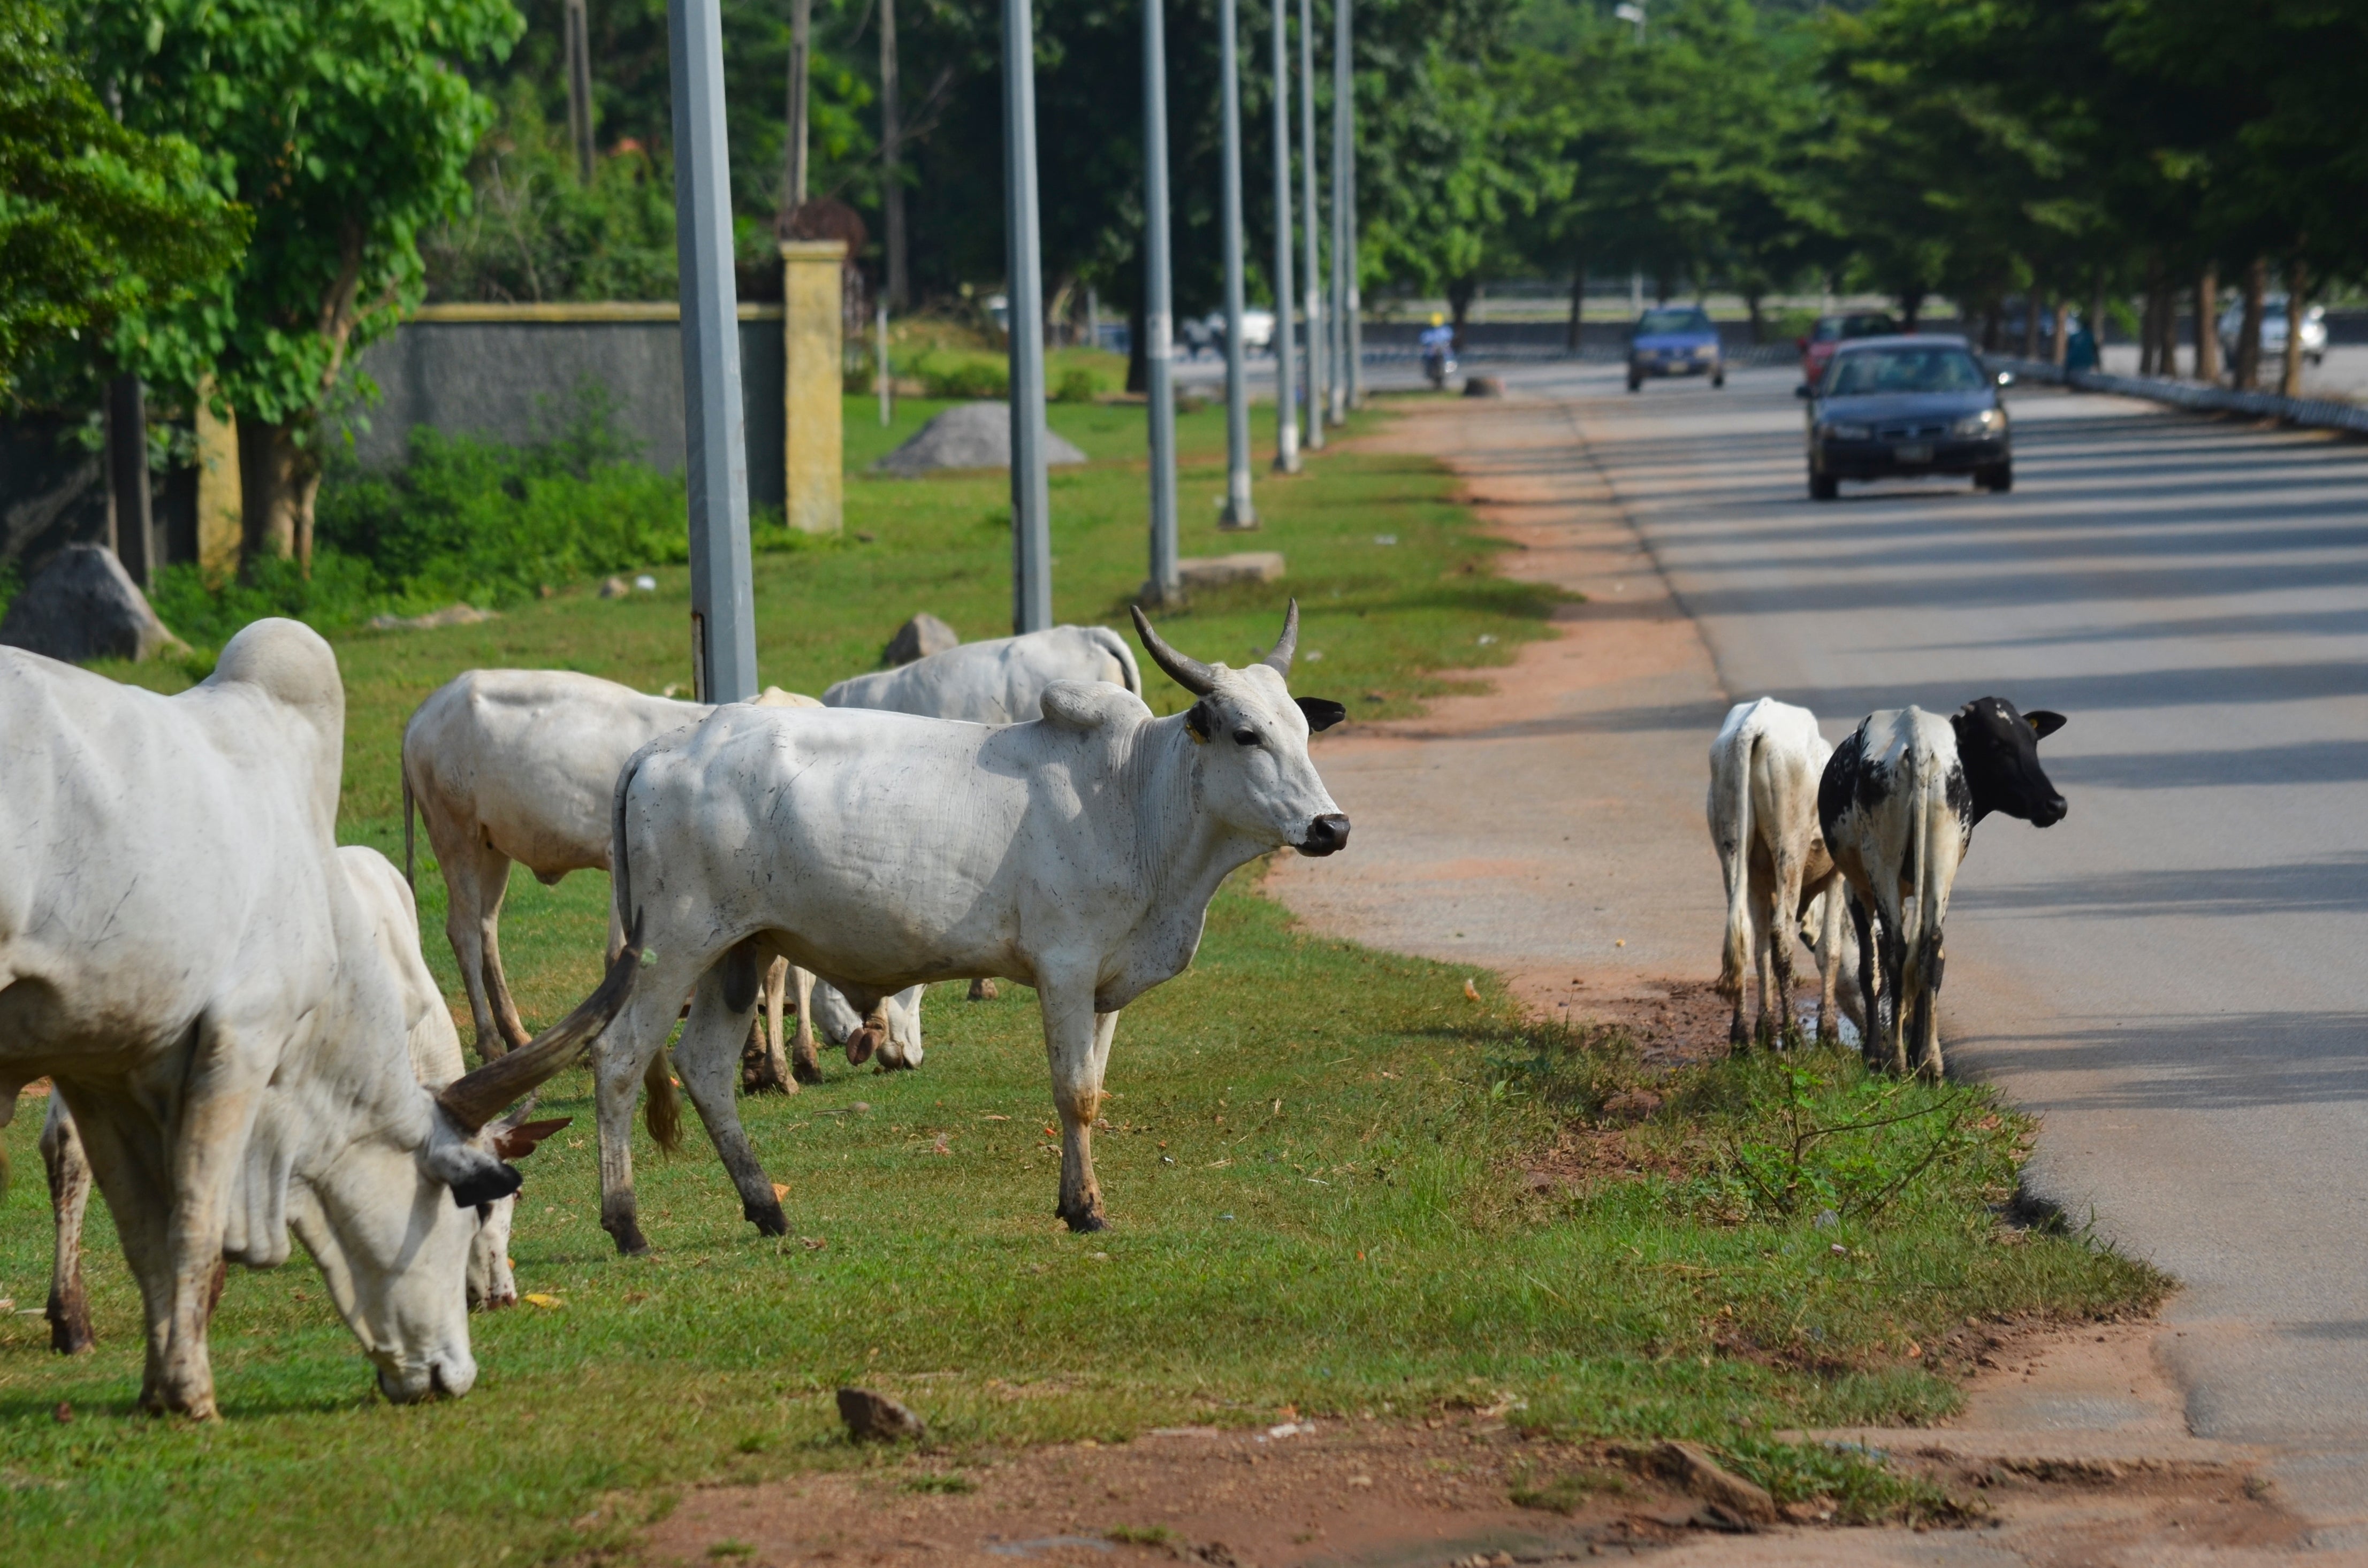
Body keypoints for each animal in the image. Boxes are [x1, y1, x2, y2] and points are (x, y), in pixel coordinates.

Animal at [1706, 698, 1861, 1050]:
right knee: (1782, 935)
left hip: (1731, 846)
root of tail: (1755, 721)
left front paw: (1765, 1028)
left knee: (1745, 935)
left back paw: (1742, 1038)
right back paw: (1792, 1035)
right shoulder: (1837, 875)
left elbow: (1761, 950)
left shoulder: (1759, 881)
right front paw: (1828, 1032)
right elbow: (1829, 950)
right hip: (1790, 846)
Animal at [1818, 698, 2066, 1078]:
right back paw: (1929, 1062)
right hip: (1941, 860)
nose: (2056, 805)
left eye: (2033, 742)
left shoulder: (1859, 889)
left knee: (1898, 951)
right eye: (1998, 745)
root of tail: (1916, 731)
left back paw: (1900, 1060)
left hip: (1882, 863)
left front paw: (1874, 1052)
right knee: (1930, 946)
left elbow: (1869, 968)